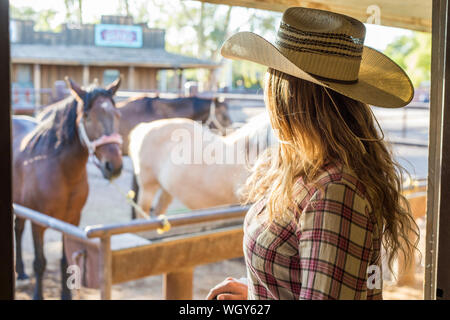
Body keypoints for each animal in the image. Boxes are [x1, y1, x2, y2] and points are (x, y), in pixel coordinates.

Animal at [13, 77, 124, 300]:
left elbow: (66, 260)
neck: (62, 171)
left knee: (18, 228)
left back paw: (21, 273)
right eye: (87, 117)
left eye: (117, 115)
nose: (114, 166)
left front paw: (66, 295)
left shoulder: (71, 220)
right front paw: (38, 296)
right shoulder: (38, 222)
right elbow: (40, 262)